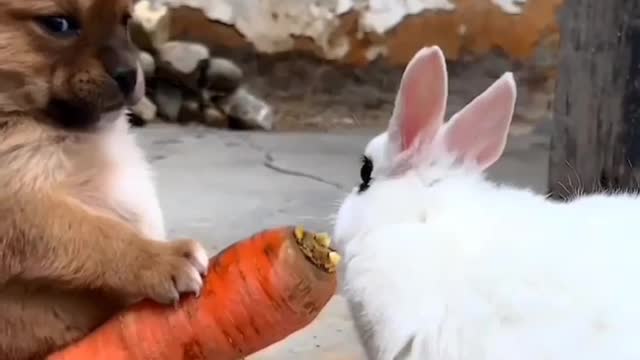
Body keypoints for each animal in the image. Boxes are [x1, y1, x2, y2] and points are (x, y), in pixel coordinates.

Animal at [0, 0, 209, 358]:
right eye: (58, 24)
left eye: (125, 21)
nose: (129, 75)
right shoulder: (17, 206)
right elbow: (92, 231)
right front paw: (161, 258)